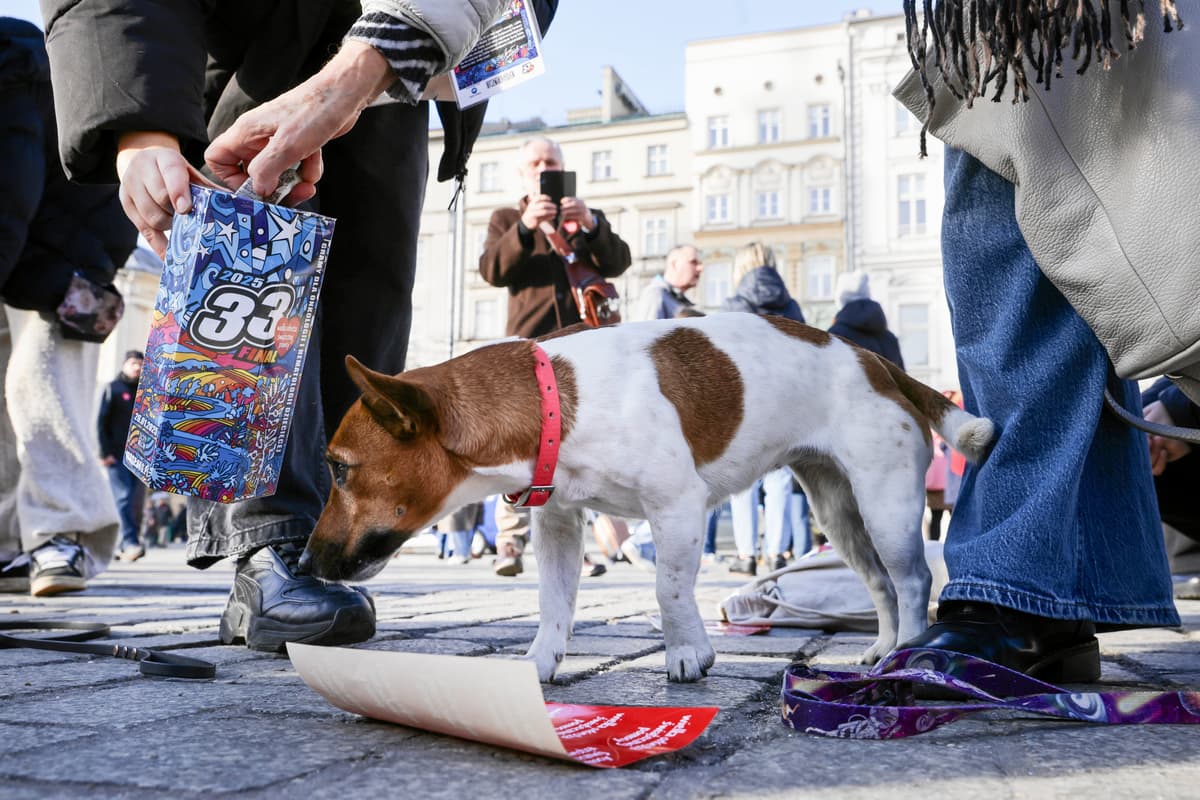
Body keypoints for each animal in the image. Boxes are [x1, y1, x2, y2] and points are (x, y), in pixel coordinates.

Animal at [302, 311, 993, 681]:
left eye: (339, 469)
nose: (305, 562)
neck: (556, 398)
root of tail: (873, 360)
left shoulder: (677, 509)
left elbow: (668, 589)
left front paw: (688, 652)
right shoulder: (560, 522)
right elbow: (554, 603)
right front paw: (541, 662)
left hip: (886, 506)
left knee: (910, 582)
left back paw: (907, 653)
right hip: (837, 510)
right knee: (878, 583)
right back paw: (881, 648)